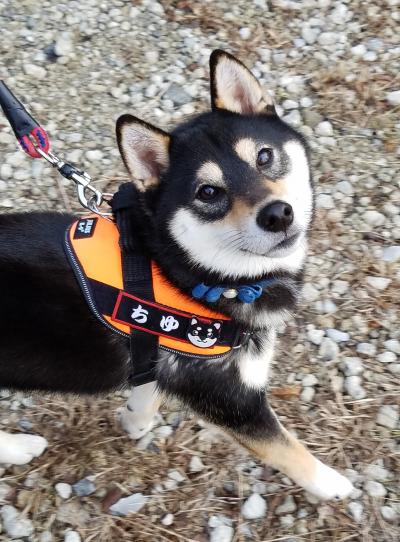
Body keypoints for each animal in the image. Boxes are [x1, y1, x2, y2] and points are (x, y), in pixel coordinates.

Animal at [0, 51, 354, 502]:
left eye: (264, 156)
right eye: (208, 192)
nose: (277, 214)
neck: (183, 271)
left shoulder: (157, 358)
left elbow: (147, 392)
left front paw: (134, 420)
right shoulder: (229, 396)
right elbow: (286, 448)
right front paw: (334, 484)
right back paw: (19, 447)